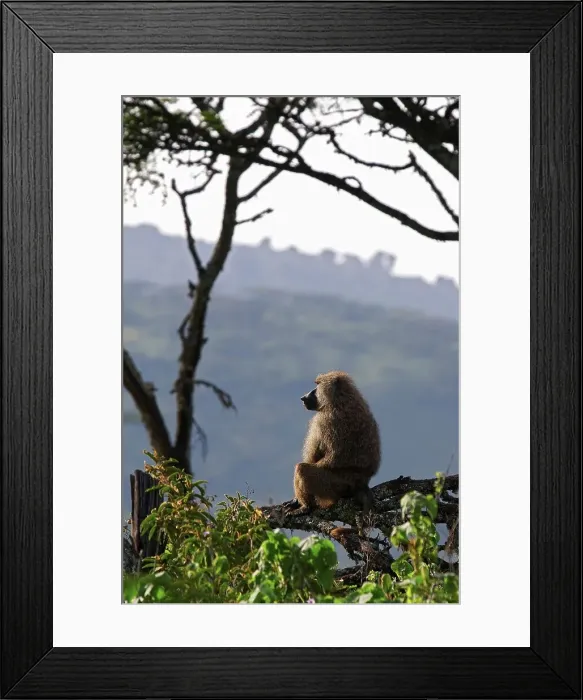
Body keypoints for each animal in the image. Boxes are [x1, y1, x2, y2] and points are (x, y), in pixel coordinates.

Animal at [283, 370, 381, 517]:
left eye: (317, 385)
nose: (303, 397)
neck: (341, 399)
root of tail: (360, 483)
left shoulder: (322, 420)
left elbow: (314, 456)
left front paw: (296, 501)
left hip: (335, 485)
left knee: (302, 469)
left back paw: (305, 507)